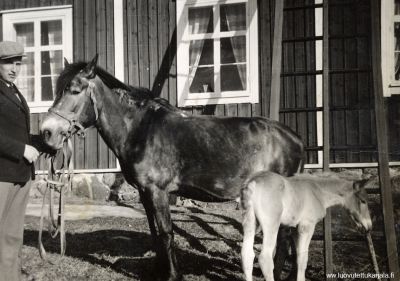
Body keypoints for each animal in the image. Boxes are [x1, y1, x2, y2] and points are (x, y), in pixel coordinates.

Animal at [40, 55, 304, 280]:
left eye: (74, 90)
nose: (47, 132)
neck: (140, 130)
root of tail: (295, 139)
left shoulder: (158, 192)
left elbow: (167, 233)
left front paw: (173, 275)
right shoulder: (144, 193)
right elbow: (155, 234)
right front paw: (157, 272)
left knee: (285, 239)